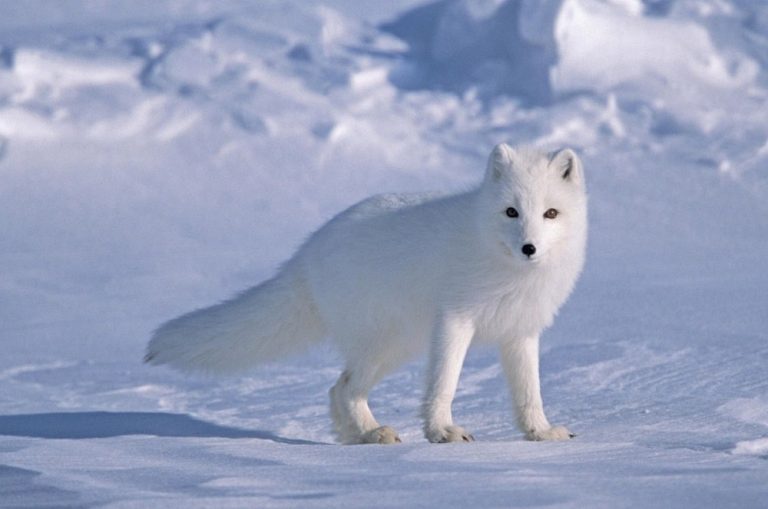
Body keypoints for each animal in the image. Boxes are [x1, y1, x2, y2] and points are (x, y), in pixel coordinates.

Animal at [146, 142, 588, 440]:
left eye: (550, 213)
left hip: (397, 347)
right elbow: (443, 383)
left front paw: (540, 433)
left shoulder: (520, 332)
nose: (529, 248)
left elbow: (530, 393)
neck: (505, 268)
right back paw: (371, 433)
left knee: (336, 389)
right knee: (343, 388)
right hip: (385, 343)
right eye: (511, 212)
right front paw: (442, 432)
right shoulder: (454, 320)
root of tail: (306, 253)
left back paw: (358, 437)